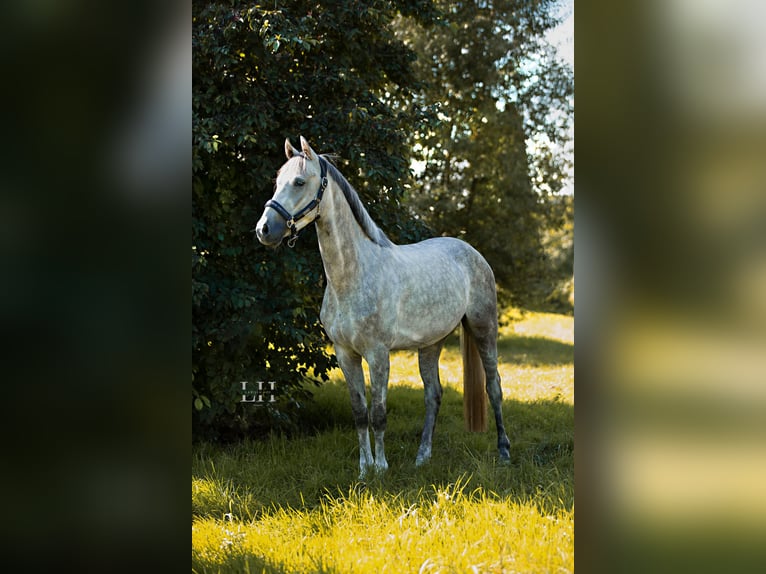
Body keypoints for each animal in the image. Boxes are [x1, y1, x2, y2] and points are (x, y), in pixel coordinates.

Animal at [255, 137, 512, 480]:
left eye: (298, 182)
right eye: (277, 181)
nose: (264, 230)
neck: (353, 276)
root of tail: (472, 252)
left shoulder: (378, 354)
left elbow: (378, 413)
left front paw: (381, 468)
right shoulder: (345, 354)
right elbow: (360, 412)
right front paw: (364, 470)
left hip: (484, 329)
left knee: (494, 387)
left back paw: (503, 452)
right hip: (431, 343)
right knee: (433, 395)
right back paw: (422, 457)